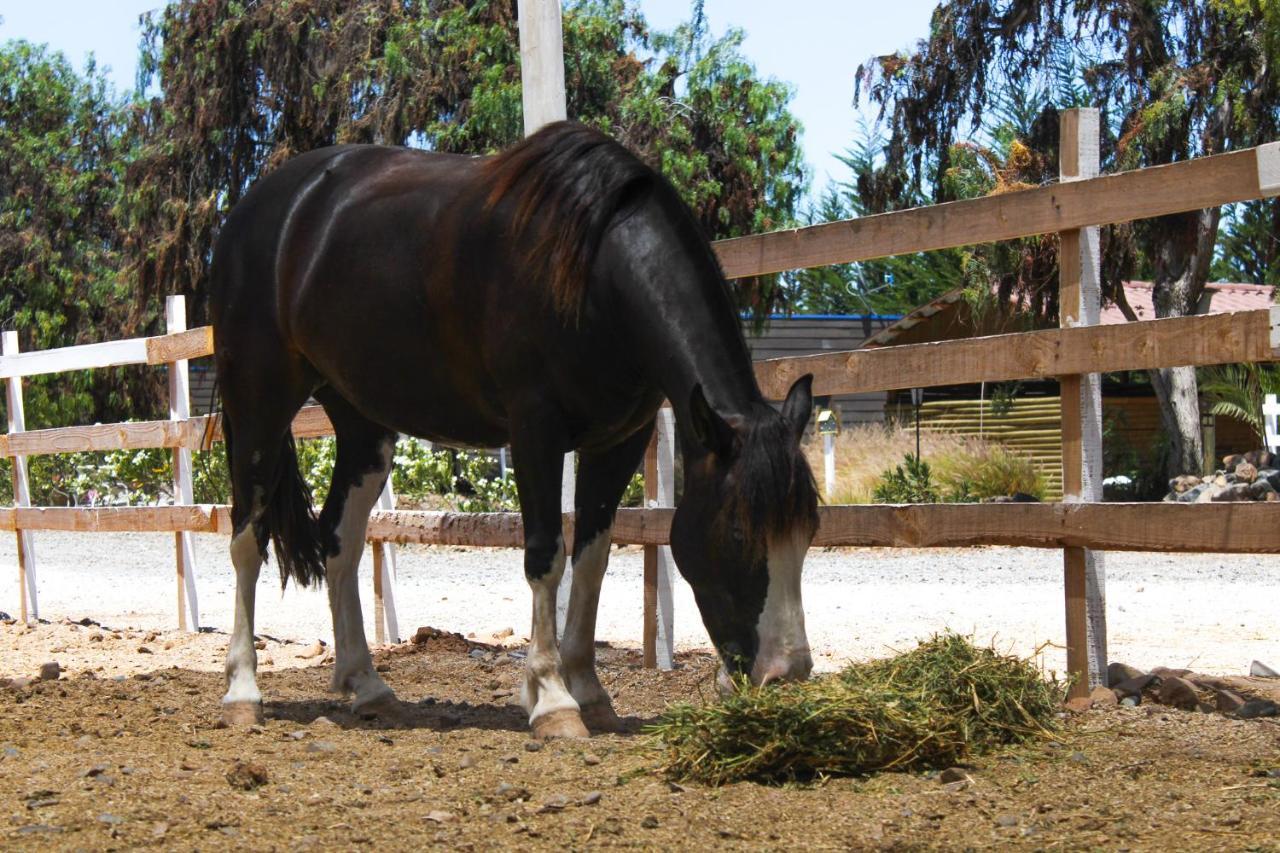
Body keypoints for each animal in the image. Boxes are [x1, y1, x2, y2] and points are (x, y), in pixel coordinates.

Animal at [204, 121, 814, 737]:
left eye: (808, 529)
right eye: (737, 534)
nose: (787, 672)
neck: (592, 270)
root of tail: (257, 209)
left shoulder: (618, 441)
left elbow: (591, 560)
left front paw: (589, 691)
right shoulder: (535, 430)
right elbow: (546, 556)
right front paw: (553, 700)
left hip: (362, 426)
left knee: (338, 540)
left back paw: (367, 686)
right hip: (259, 405)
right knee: (247, 538)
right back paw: (242, 692)